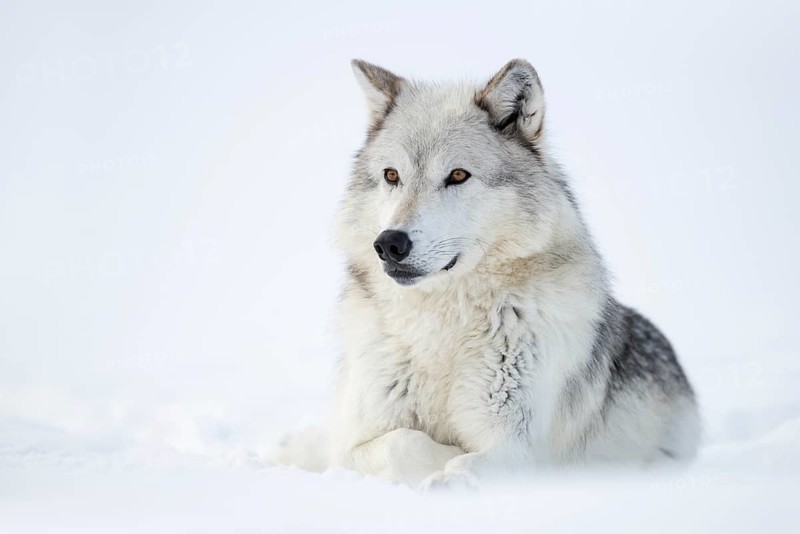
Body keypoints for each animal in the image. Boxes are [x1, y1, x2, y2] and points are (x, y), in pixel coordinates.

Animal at [272, 59, 700, 489]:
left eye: (458, 176)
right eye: (392, 176)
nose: (389, 244)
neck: (440, 328)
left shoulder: (516, 446)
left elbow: (474, 459)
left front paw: (451, 474)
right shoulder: (357, 441)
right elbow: (402, 443)